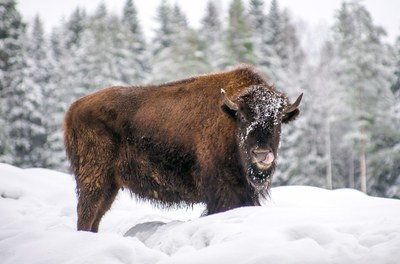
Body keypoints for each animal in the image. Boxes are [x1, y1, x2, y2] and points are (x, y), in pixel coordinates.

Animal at [64, 65, 302, 231]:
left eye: (277, 120)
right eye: (243, 117)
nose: (261, 154)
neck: (229, 117)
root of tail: (74, 109)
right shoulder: (223, 192)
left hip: (110, 186)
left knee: (96, 216)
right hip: (94, 180)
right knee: (86, 213)